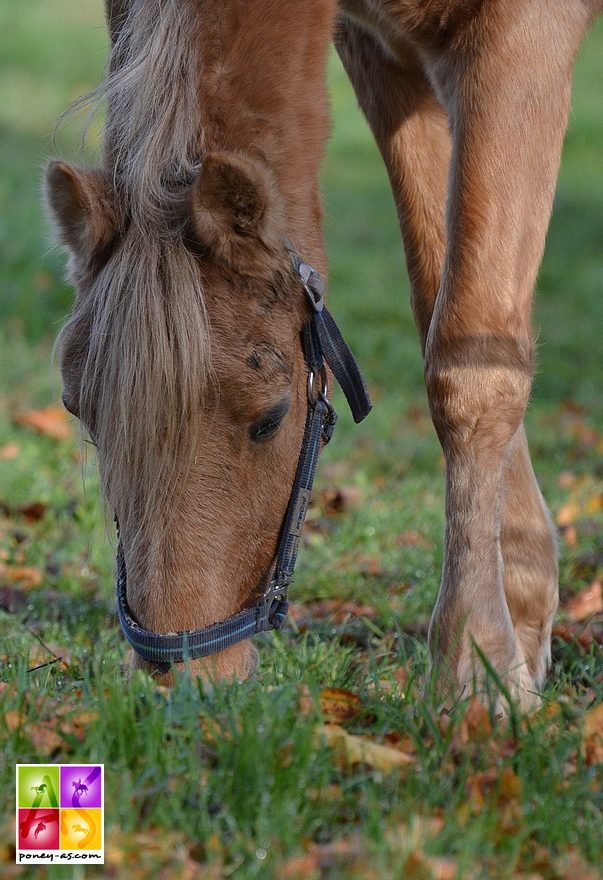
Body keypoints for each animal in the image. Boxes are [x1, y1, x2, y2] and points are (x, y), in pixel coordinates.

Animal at [43, 0, 603, 704]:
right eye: (83, 414)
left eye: (271, 419)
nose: (186, 685)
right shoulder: (383, 57)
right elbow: (442, 300)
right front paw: (522, 615)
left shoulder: (521, 38)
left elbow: (475, 353)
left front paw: (475, 671)